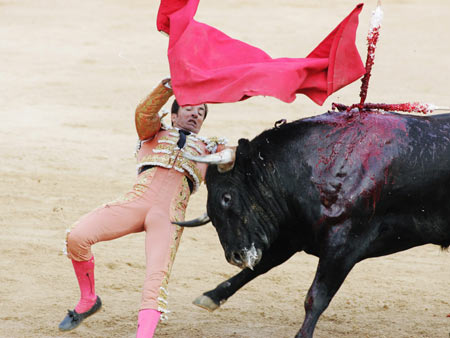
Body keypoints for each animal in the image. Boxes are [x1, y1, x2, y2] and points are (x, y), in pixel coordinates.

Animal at [176, 109, 450, 336]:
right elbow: (260, 266)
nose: (235, 256)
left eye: (226, 197)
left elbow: (316, 297)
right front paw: (211, 297)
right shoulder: (293, 234)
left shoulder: (344, 243)